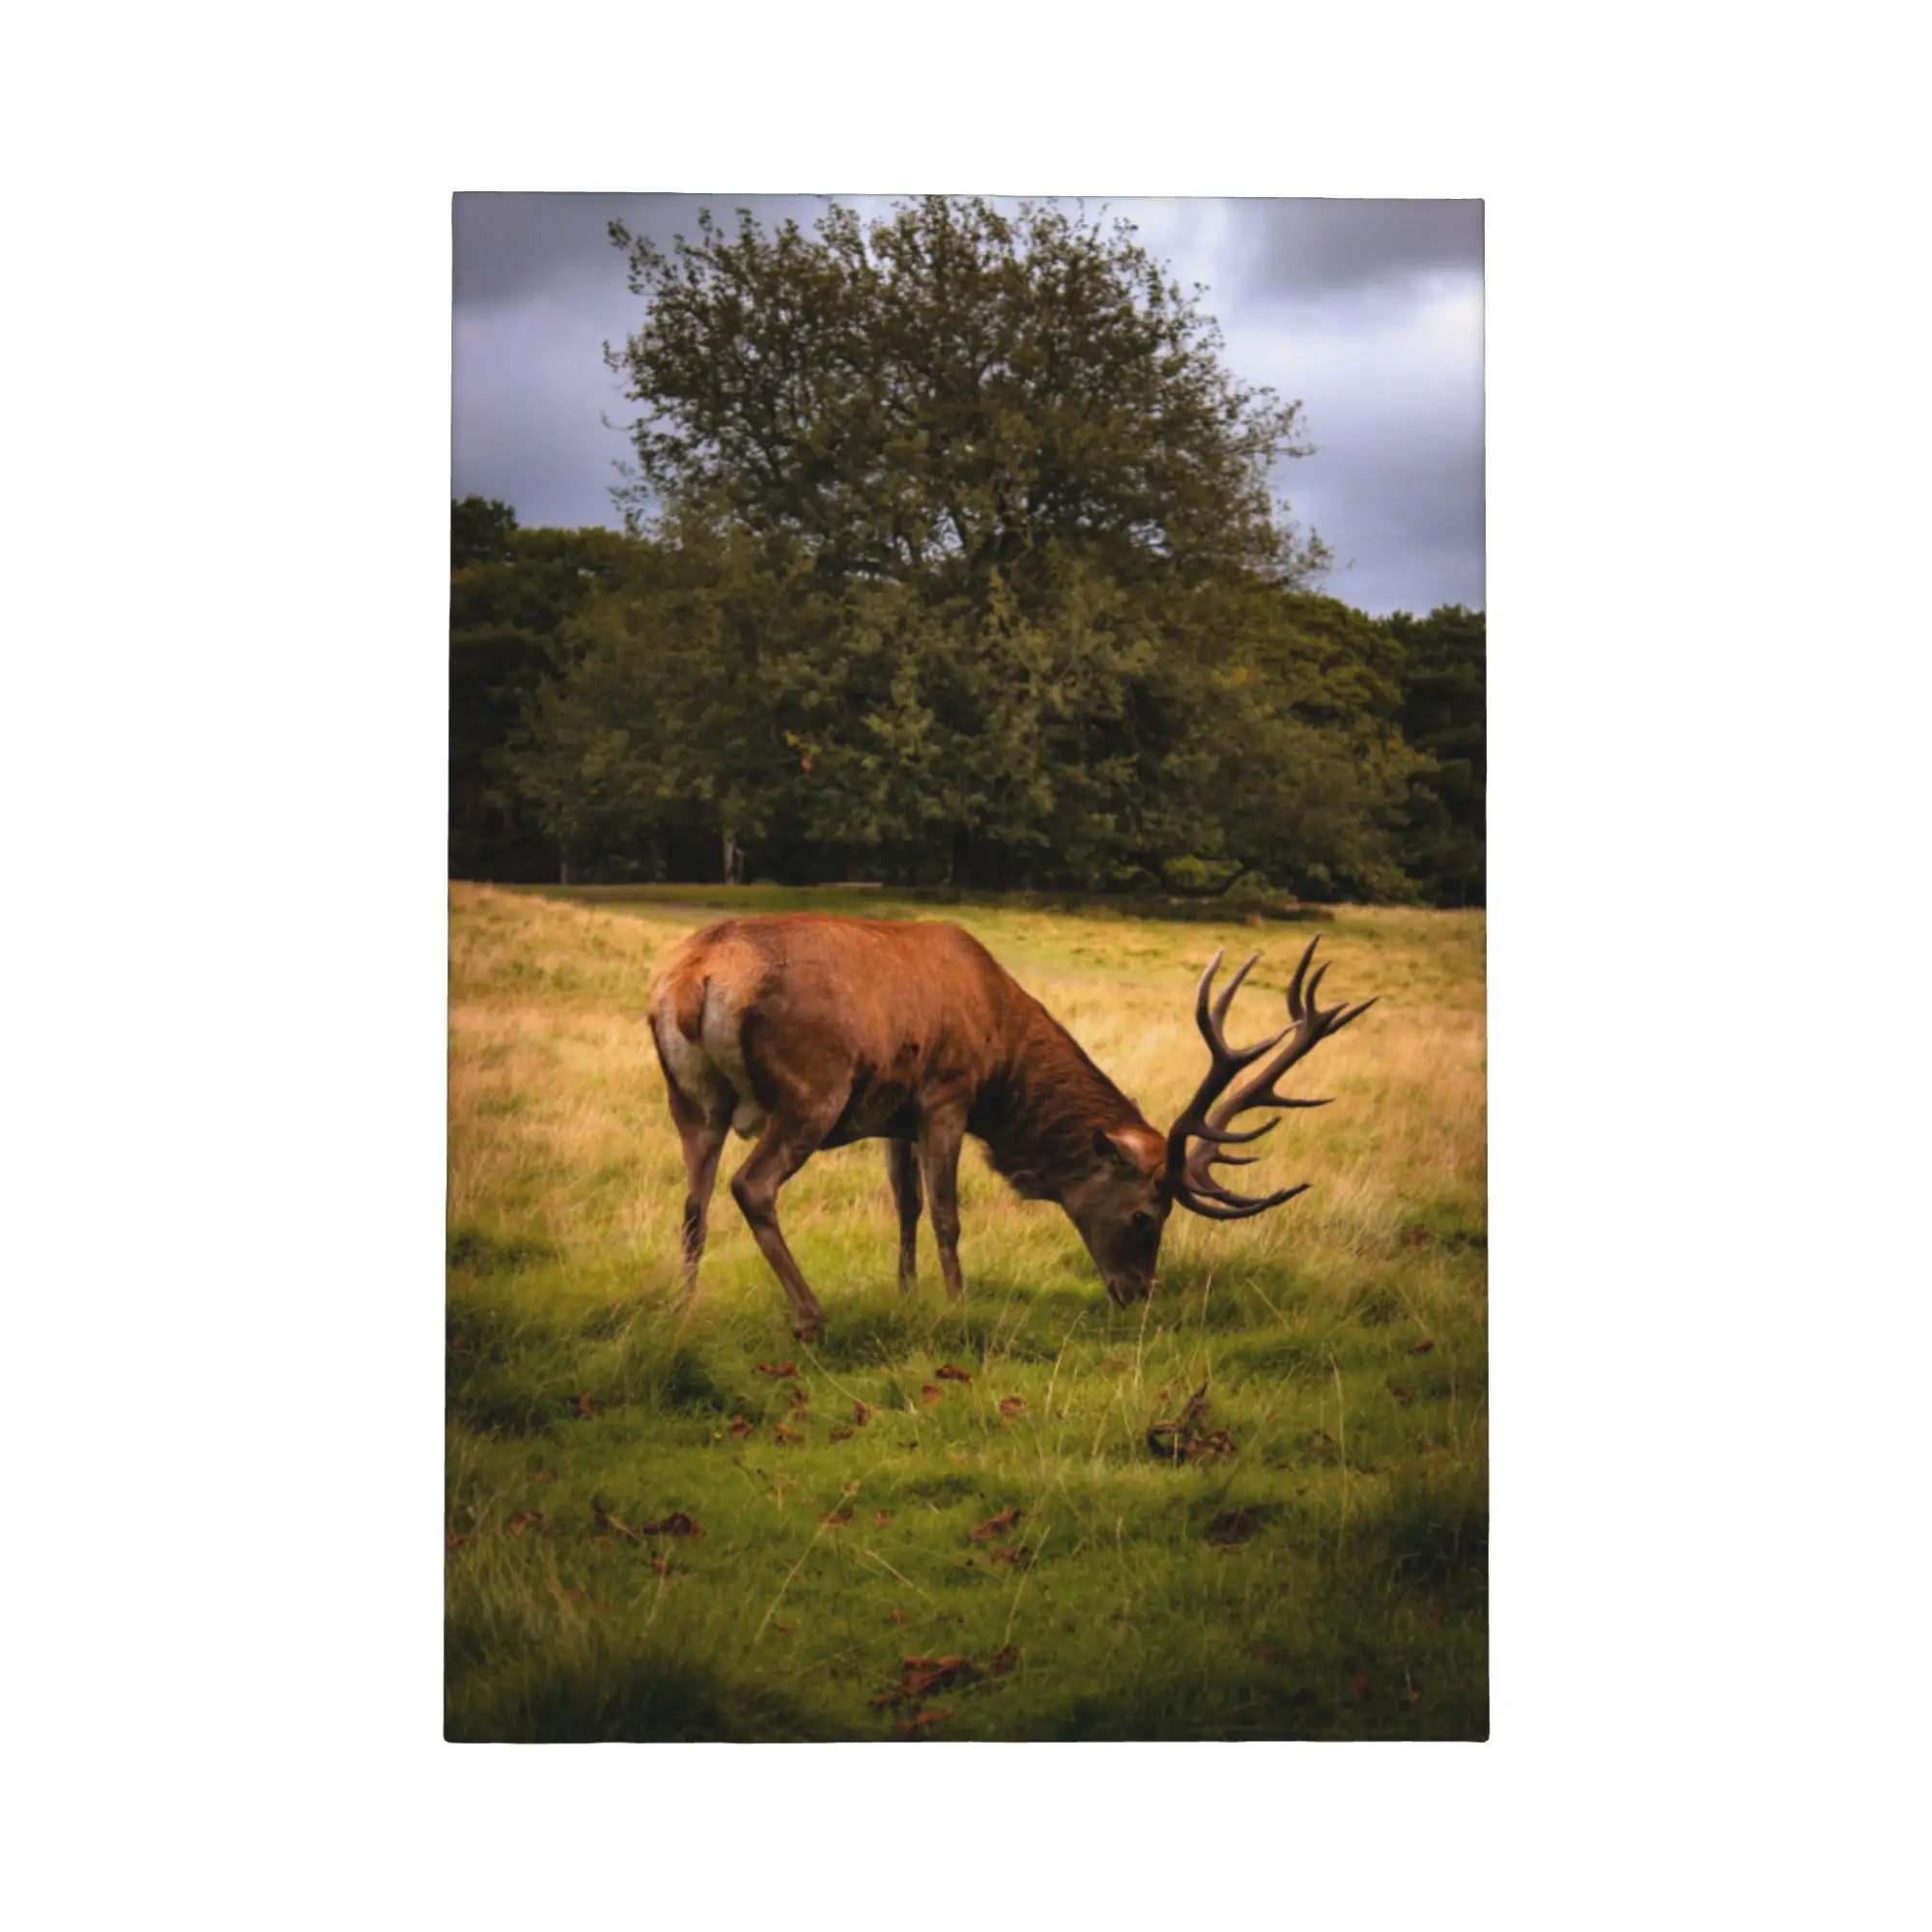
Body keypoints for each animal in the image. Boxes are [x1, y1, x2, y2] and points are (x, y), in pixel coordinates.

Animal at [647, 915, 1375, 1339]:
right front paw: (956, 1302)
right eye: (1146, 1215)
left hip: (690, 1099)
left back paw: (685, 1306)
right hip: (811, 1089)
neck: (1002, 1053)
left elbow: (906, 1204)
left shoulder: (893, 1113)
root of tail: (691, 978)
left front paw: (907, 1293)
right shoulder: (948, 1091)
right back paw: (809, 1316)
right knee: (751, 1186)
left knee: (693, 1203)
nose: (1138, 1294)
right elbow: (946, 1213)